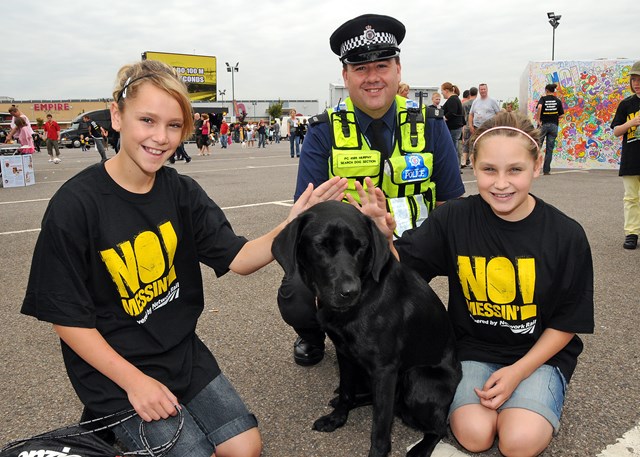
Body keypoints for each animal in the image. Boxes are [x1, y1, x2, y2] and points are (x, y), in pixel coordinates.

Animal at [272, 201, 462, 456]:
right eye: (322, 245)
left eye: (360, 246)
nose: (349, 292)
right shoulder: (344, 354)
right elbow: (346, 391)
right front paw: (336, 418)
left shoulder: (385, 369)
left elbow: (380, 425)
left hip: (416, 380)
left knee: (438, 428)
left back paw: (420, 448)